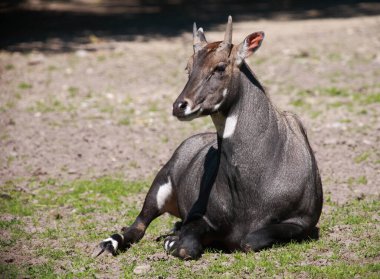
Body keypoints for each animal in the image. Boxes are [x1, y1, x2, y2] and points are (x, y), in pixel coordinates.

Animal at [98, 15, 320, 260]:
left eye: (220, 66)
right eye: (189, 67)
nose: (180, 106)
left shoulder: (303, 222)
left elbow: (249, 240)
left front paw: (172, 238)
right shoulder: (200, 216)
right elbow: (187, 246)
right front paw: (172, 241)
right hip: (158, 188)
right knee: (137, 227)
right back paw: (109, 243)